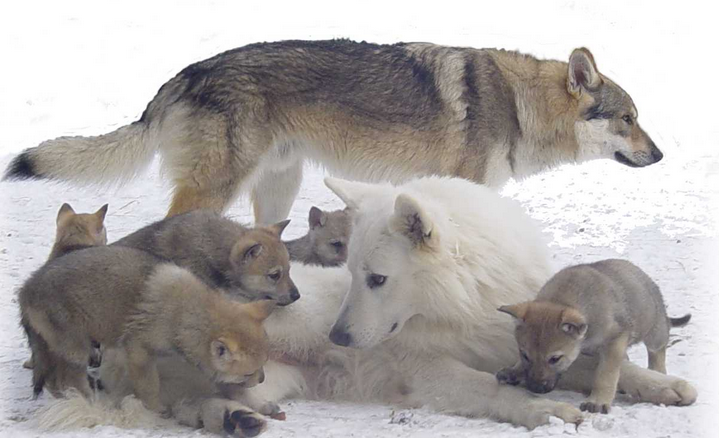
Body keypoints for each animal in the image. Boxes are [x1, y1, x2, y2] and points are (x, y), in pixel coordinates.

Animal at [3, 40, 662, 223]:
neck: (520, 105)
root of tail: (186, 73)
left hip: (278, 189)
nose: (658, 155)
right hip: (219, 188)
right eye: (629, 119)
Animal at [18, 246, 273, 437]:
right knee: (69, 378)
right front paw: (154, 408)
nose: (262, 379)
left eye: (263, 365)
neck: (185, 311)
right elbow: (150, 386)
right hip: (76, 349)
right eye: (249, 373)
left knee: (54, 379)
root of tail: (25, 290)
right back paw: (87, 400)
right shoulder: (139, 351)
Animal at [495, 259, 693, 414]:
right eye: (525, 355)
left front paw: (598, 400)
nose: (535, 389)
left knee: (657, 351)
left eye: (555, 359)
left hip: (654, 331)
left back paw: (657, 371)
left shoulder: (614, 341)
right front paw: (514, 370)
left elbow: (605, 374)